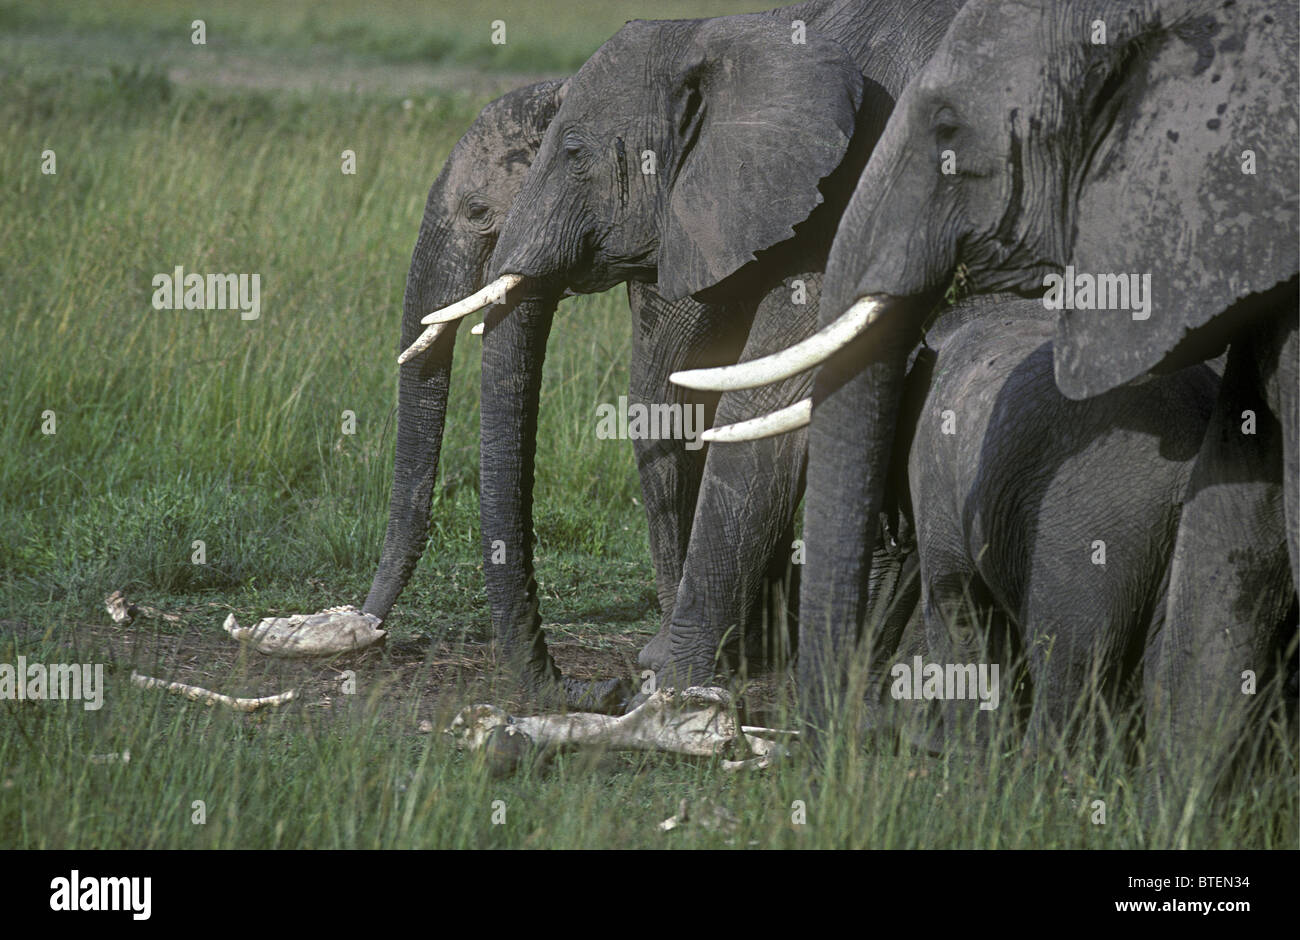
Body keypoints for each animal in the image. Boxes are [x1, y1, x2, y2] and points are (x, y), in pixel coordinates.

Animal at [415, 0, 966, 699]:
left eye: (574, 154)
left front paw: (670, 677)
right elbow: (675, 395)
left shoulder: (853, 188)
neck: (726, 32)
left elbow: (765, 402)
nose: (600, 689)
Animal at [676, 0, 1298, 799]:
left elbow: (956, 598)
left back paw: (1045, 779)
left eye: (947, 129)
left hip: (1086, 530)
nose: (828, 745)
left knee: (1074, 646)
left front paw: (970, 764)